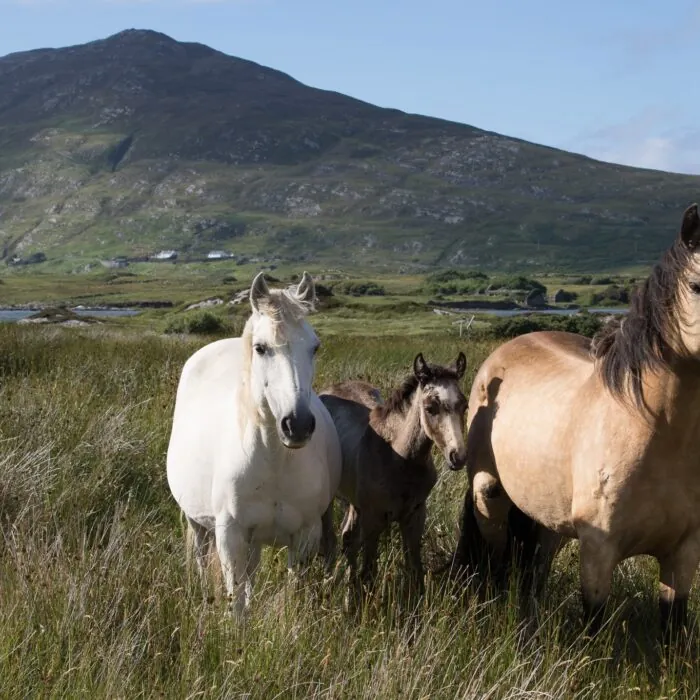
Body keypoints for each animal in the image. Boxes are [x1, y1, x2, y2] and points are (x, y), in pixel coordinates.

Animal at [166, 271, 342, 618]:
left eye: (314, 347)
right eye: (261, 348)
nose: (297, 425)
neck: (275, 460)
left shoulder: (305, 536)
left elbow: (291, 592)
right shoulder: (230, 536)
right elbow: (236, 602)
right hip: (199, 526)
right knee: (201, 561)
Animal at [320, 352, 468, 599]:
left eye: (464, 405)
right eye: (430, 407)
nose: (458, 456)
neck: (400, 458)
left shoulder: (415, 516)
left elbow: (415, 571)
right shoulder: (373, 521)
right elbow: (369, 574)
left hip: (354, 502)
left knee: (348, 538)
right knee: (330, 541)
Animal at [455, 203, 700, 638]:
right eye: (695, 286)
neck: (657, 432)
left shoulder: (683, 552)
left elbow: (673, 628)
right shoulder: (598, 550)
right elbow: (594, 626)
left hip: (546, 519)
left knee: (534, 572)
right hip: (490, 498)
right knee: (497, 565)